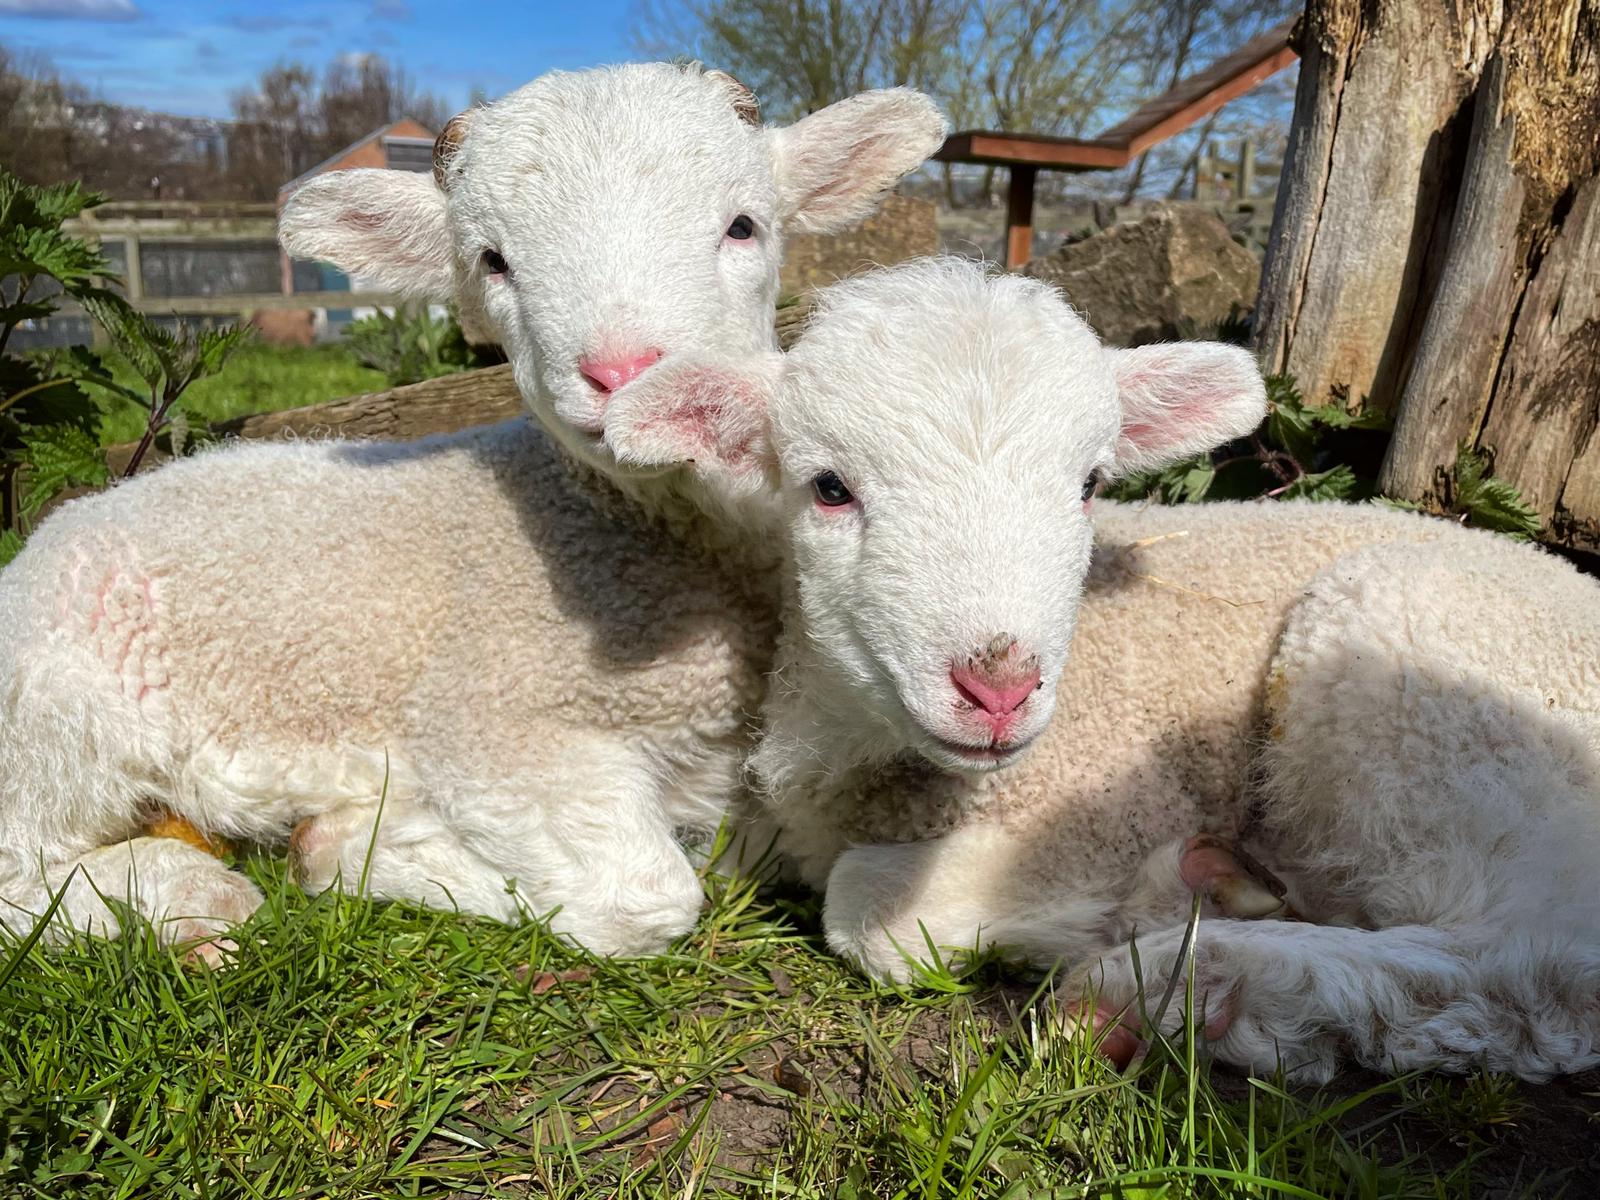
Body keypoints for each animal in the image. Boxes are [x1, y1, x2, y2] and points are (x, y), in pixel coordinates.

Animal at [0, 62, 947, 961]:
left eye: (744, 225)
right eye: (492, 260)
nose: (621, 373)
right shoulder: (486, 724)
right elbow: (644, 898)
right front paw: (353, 846)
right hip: (54, 725)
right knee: (19, 881)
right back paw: (193, 901)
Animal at [606, 255, 1600, 1083]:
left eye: (1089, 483)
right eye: (828, 488)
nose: (998, 688)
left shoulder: (1114, 804)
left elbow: (862, 909)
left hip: (1415, 682)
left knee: (1532, 968)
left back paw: (1181, 979)